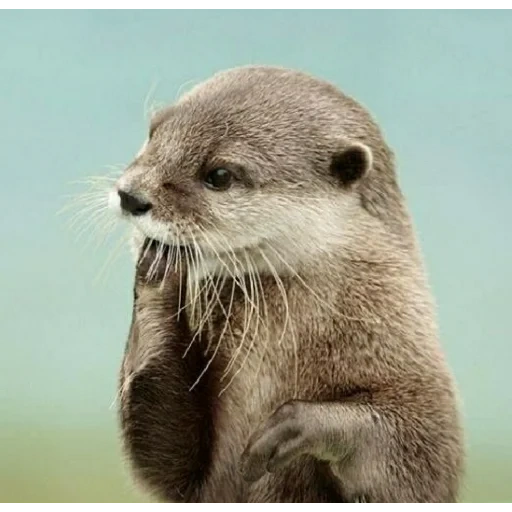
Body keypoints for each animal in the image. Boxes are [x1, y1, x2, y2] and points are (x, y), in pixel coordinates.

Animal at [107, 65, 464, 504]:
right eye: (154, 131)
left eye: (219, 174)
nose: (130, 195)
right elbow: (168, 462)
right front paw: (158, 268)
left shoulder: (414, 368)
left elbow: (421, 460)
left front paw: (297, 425)